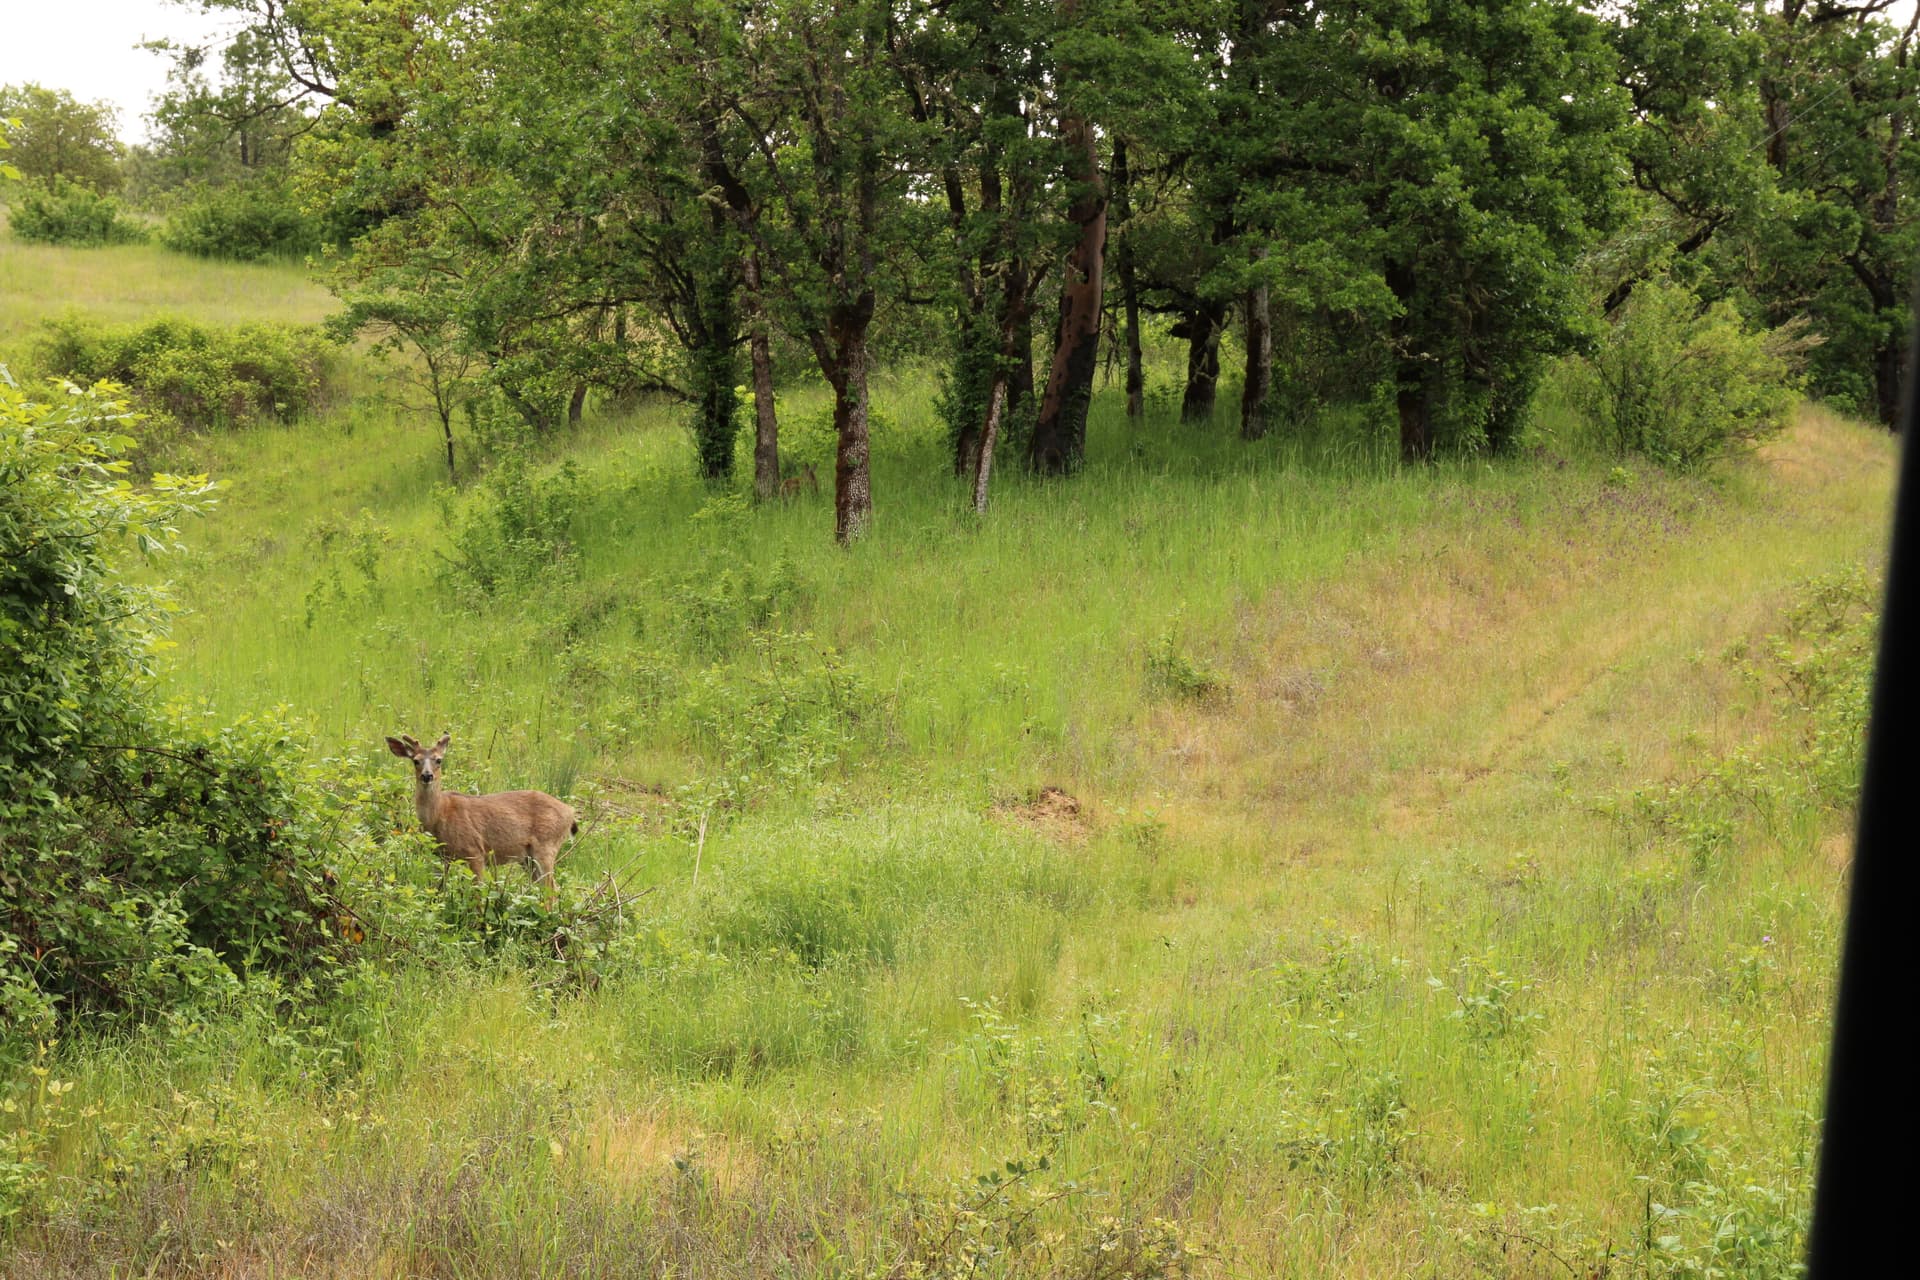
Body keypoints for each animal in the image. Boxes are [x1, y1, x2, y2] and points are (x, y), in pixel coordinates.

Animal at [385, 732, 577, 895]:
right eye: (415, 761)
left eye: (439, 760)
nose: (427, 775)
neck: (440, 815)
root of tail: (570, 812)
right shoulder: (444, 857)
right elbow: (440, 890)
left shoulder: (475, 850)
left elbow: (477, 892)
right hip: (527, 858)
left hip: (546, 845)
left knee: (551, 890)